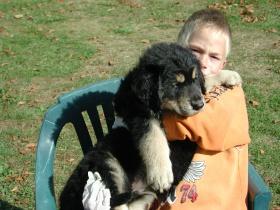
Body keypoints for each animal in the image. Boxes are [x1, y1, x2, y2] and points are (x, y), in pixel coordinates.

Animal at [59, 42, 241, 210]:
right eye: (175, 85)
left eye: (195, 79)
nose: (199, 105)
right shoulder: (138, 112)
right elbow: (153, 136)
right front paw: (161, 173)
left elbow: (206, 80)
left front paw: (229, 75)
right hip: (107, 162)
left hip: (143, 195)